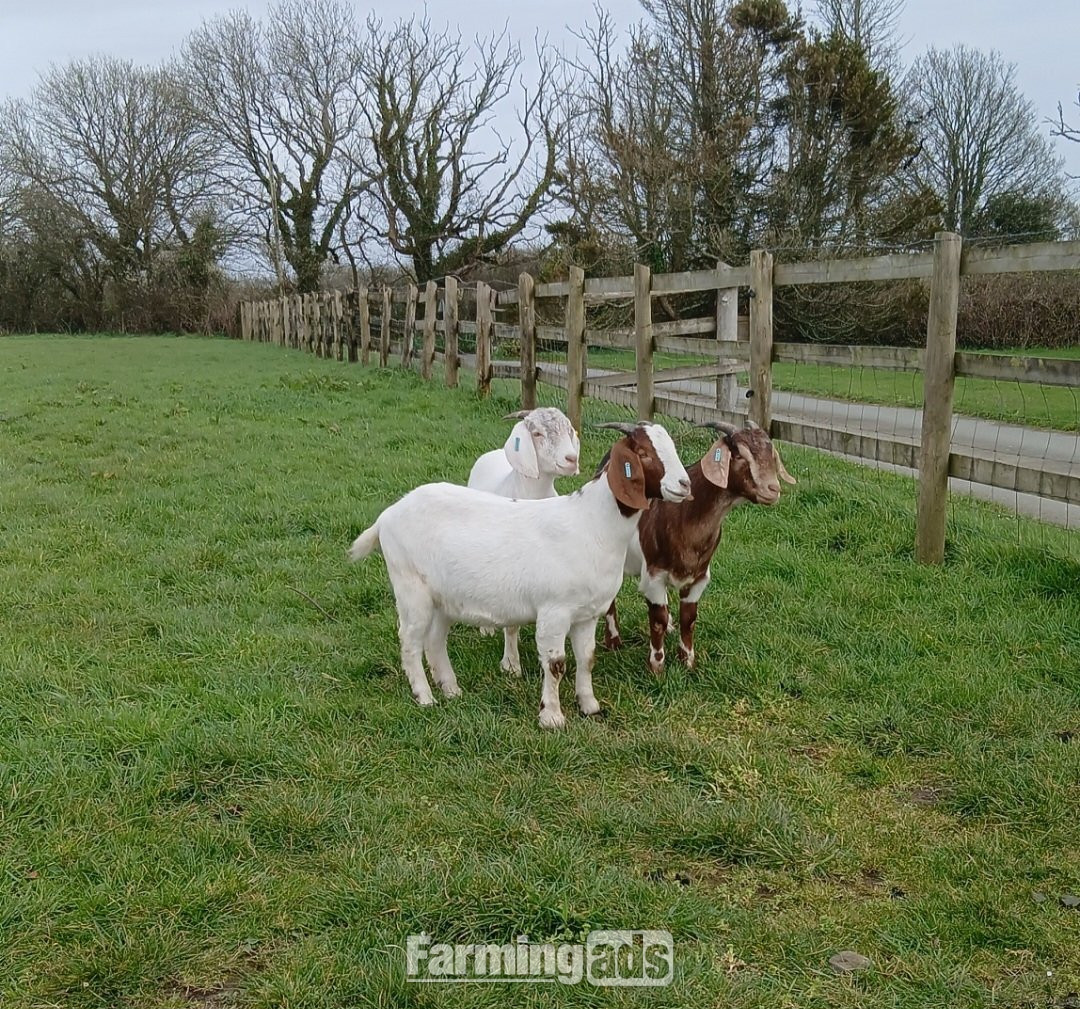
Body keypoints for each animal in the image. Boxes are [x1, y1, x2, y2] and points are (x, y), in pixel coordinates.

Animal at [604, 420, 796, 674]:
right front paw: (657, 667)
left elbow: (689, 618)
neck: (685, 514)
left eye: (771, 454)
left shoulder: (699, 576)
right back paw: (613, 641)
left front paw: (687, 661)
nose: (773, 489)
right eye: (739, 455)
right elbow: (657, 619)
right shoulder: (654, 575)